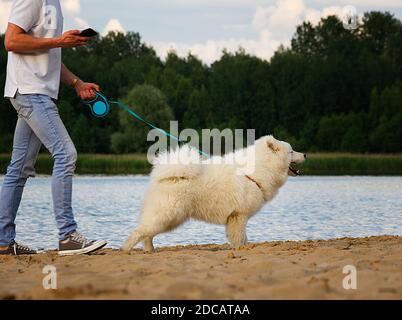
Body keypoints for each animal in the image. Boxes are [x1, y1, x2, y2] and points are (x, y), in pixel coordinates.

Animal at [122, 135, 304, 252]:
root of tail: (164, 176)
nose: (305, 154)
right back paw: (126, 250)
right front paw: (242, 249)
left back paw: (149, 251)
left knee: (147, 234)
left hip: (170, 219)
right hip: (167, 215)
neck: (257, 170)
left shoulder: (235, 217)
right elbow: (240, 237)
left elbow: (240, 237)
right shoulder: (239, 216)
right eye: (291, 151)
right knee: (139, 232)